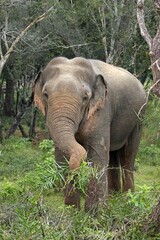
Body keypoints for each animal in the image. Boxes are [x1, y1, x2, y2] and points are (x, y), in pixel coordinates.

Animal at [33, 56, 147, 212]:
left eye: (85, 97)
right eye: (45, 94)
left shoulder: (102, 110)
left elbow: (97, 155)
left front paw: (94, 214)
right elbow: (61, 156)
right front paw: (72, 212)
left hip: (138, 118)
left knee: (128, 156)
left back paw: (126, 200)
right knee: (112, 155)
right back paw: (114, 196)